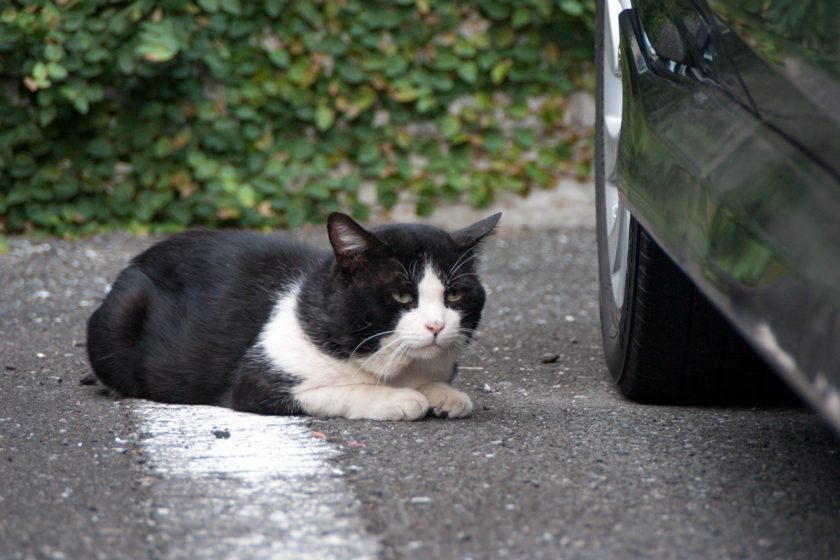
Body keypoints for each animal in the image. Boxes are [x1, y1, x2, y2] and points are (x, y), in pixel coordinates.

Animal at [87, 213, 498, 420]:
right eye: (401, 295)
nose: (436, 325)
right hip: (122, 313)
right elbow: (345, 389)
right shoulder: (257, 382)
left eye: (454, 295)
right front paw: (399, 399)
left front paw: (444, 394)